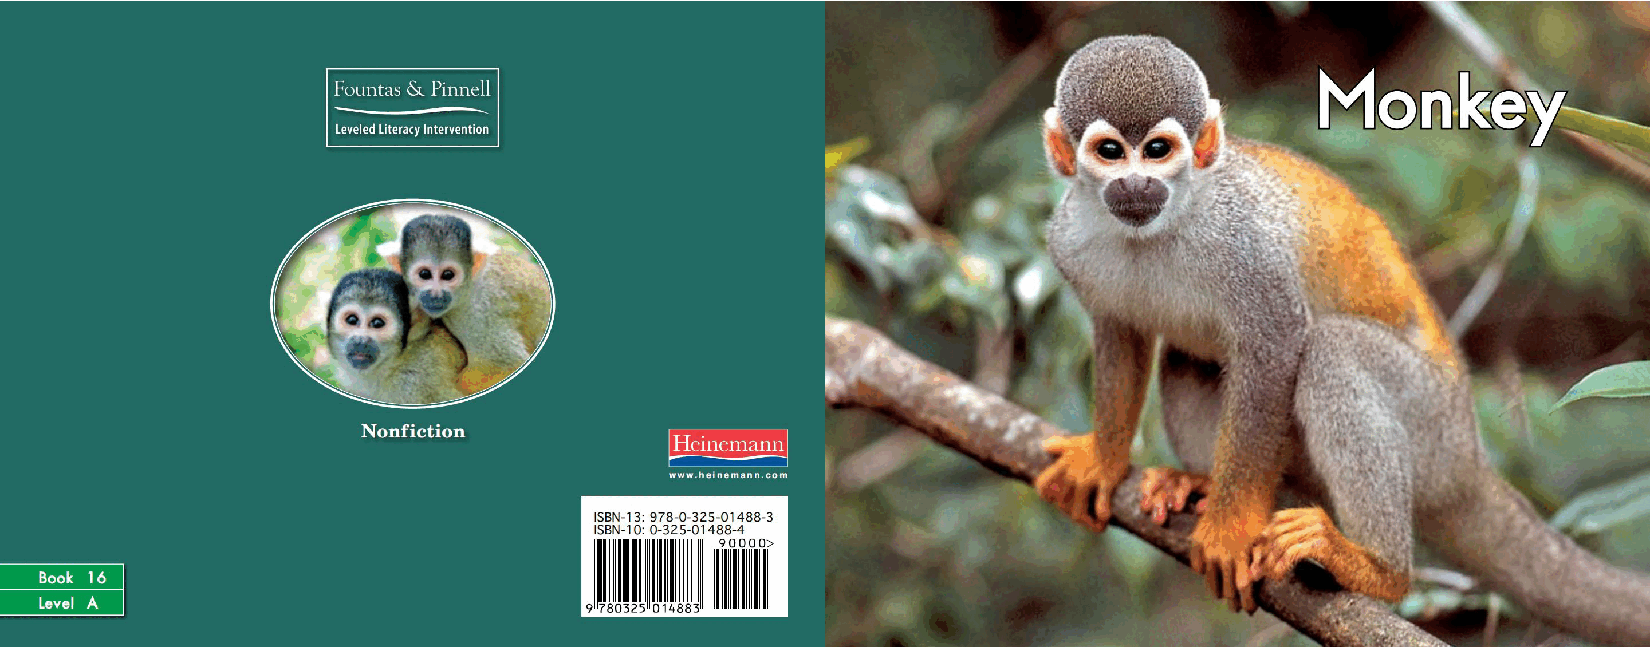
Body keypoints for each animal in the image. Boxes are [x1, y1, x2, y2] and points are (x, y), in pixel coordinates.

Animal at [1032, 35, 1650, 644]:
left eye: (1158, 150)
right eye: (1111, 153)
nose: (1137, 184)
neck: (1155, 230)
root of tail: (1469, 462)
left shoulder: (1242, 244)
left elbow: (1277, 343)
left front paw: (1231, 529)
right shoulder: (1067, 242)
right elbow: (1121, 335)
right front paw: (1104, 461)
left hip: (1432, 424)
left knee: (1333, 352)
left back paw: (1376, 568)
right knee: (1189, 361)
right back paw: (1198, 483)